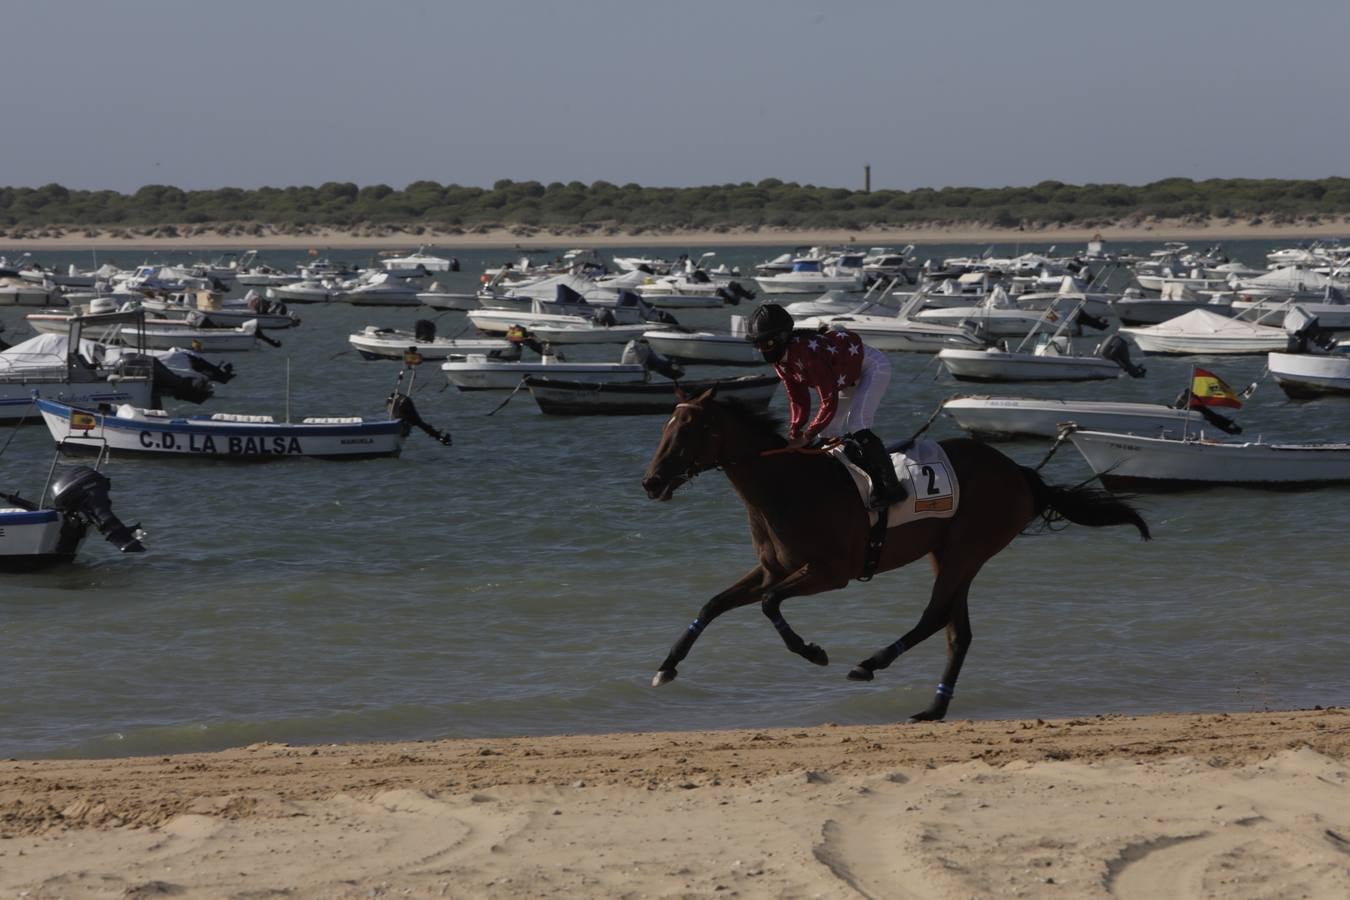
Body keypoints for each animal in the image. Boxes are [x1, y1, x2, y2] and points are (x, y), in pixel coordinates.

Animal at [637, 388, 1144, 723]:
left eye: (689, 429)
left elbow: (768, 604)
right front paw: (666, 668)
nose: (651, 482)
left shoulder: (830, 572)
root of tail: (1019, 472)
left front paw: (813, 652)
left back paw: (869, 664)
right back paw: (933, 707)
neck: (789, 485)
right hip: (950, 552)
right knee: (957, 630)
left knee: (936, 617)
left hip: (966, 550)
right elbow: (713, 604)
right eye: (665, 425)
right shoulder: (772, 568)